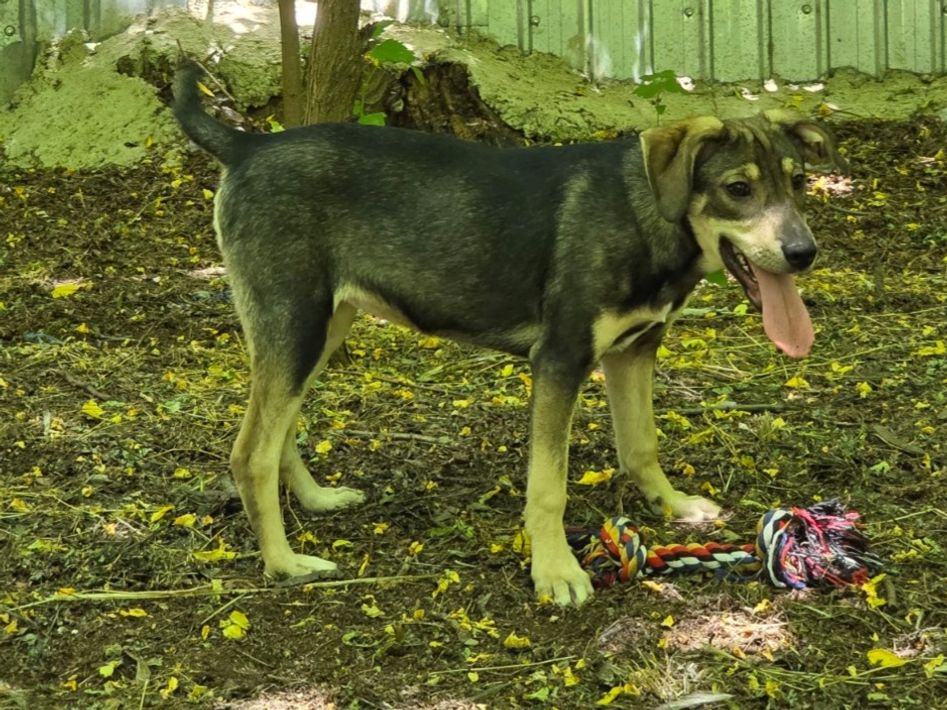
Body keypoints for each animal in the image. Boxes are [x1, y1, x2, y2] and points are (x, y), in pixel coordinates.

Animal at [172, 61, 845, 605]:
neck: (644, 211)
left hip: (319, 328)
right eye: (738, 189)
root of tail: (247, 146)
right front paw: (556, 571)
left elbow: (641, 446)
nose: (803, 254)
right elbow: (548, 486)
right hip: (295, 323)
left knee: (277, 433)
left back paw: (317, 501)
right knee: (250, 453)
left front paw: (673, 506)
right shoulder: (560, 360)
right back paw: (284, 564)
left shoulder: (633, 352)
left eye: (798, 183)